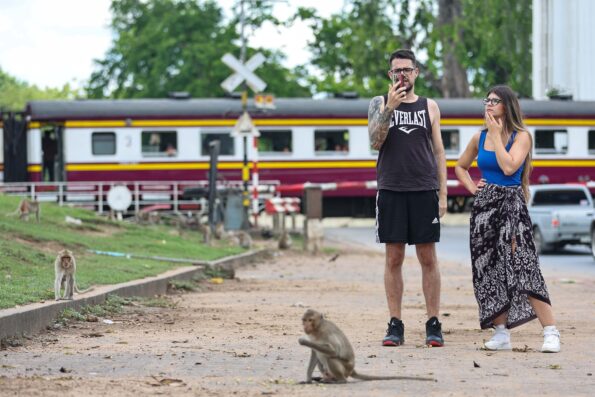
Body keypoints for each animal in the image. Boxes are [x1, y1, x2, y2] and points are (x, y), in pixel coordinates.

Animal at [300, 308, 436, 382]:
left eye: (310, 320)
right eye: (304, 320)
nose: (305, 326)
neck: (317, 329)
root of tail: (352, 370)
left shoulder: (326, 333)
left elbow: (334, 351)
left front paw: (304, 342)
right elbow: (314, 353)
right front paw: (308, 380)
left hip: (345, 369)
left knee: (330, 358)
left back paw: (340, 381)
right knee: (321, 357)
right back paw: (326, 379)